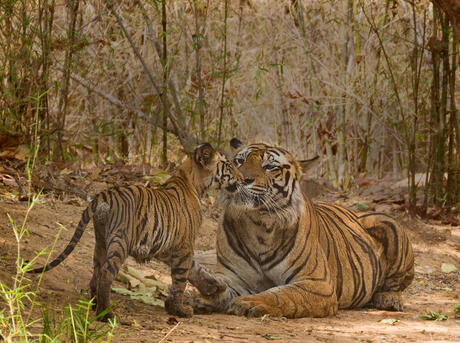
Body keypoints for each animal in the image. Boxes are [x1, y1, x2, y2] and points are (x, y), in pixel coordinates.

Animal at [30, 144, 241, 322]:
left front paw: (214, 287)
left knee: (96, 272)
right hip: (120, 240)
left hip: (101, 240)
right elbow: (181, 278)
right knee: (106, 274)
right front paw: (179, 310)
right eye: (229, 165)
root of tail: (103, 194)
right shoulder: (184, 245)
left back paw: (95, 305)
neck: (193, 181)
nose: (243, 178)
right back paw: (106, 314)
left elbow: (195, 269)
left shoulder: (166, 247)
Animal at [192, 140, 416, 320]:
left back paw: (389, 299)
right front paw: (204, 295)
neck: (259, 223)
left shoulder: (318, 284)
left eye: (269, 166)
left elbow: (282, 294)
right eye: (239, 161)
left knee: (396, 284)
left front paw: (252, 302)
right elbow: (222, 286)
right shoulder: (235, 277)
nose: (242, 179)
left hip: (388, 222)